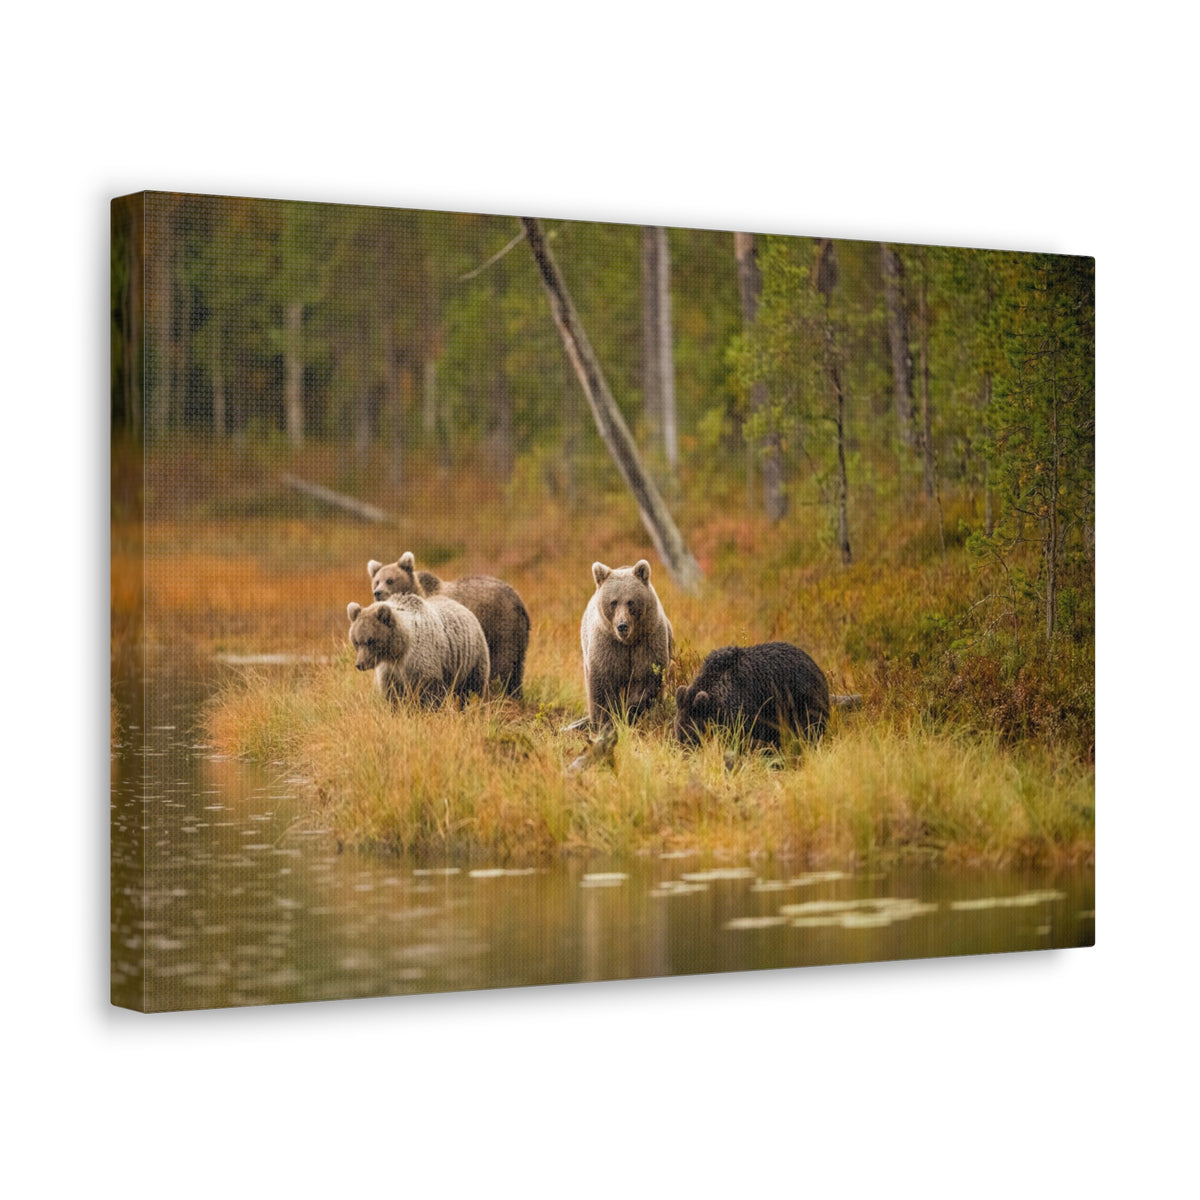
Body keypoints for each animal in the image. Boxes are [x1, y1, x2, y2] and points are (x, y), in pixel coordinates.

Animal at [346, 593, 490, 707]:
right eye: (356, 641)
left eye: (371, 641)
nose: (360, 664)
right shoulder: (390, 671)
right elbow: (393, 694)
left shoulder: (421, 660)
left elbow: (428, 692)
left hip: (471, 658)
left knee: (474, 688)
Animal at [367, 552, 530, 698]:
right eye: (376, 581)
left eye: (390, 580)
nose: (377, 592)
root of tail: (518, 599)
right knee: (517, 668)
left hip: (501, 626)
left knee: (503, 665)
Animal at [580, 559, 674, 727]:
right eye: (613, 602)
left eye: (630, 601)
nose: (622, 625)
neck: (628, 641)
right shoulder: (607, 644)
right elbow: (603, 684)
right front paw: (606, 720)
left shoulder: (647, 641)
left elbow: (646, 678)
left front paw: (632, 711)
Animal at [674, 642, 830, 750]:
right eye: (678, 731)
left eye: (691, 732)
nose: (684, 750)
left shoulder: (745, 711)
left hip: (802, 702)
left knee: (809, 730)